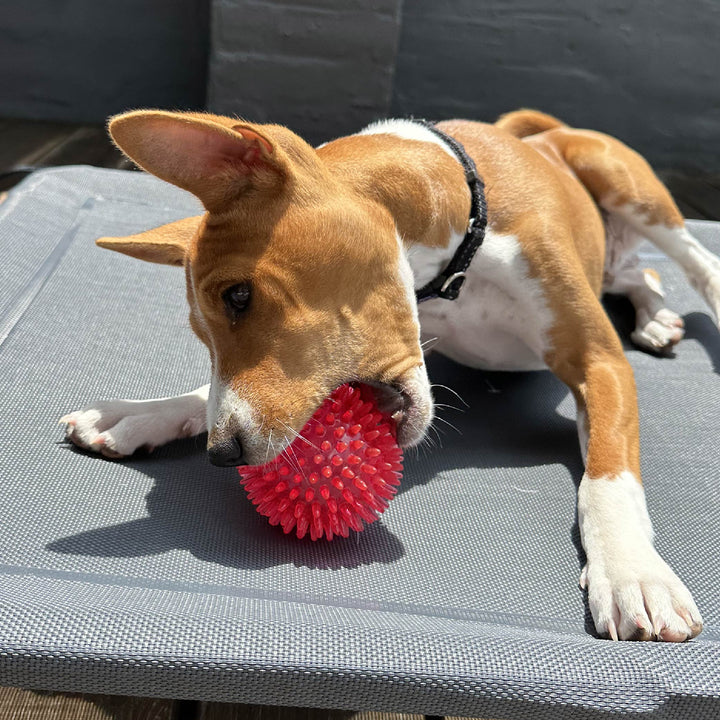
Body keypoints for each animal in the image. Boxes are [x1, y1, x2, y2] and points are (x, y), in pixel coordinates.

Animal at [60, 108, 716, 640]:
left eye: (239, 296)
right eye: (204, 331)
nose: (224, 454)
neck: (460, 251)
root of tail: (539, 135)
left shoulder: (599, 362)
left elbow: (606, 478)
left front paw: (633, 572)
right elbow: (203, 394)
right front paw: (139, 415)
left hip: (626, 183)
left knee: (691, 261)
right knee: (640, 273)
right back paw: (657, 317)